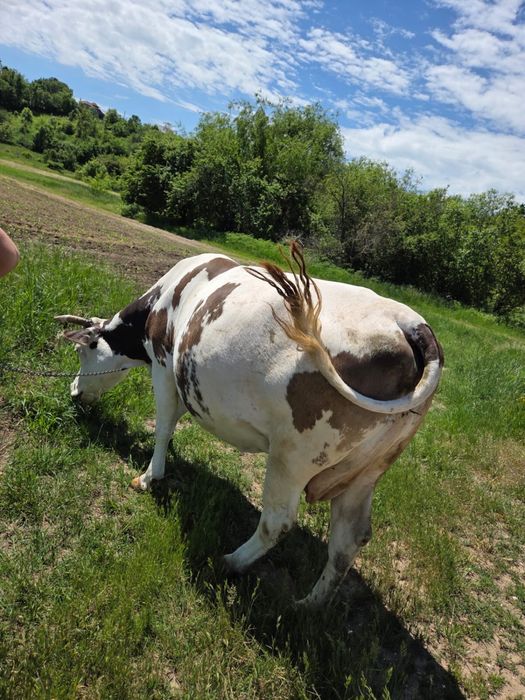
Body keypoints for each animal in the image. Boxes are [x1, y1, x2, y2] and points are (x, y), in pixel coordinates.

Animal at [56, 243, 443, 605]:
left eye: (82, 351)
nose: (74, 392)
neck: (169, 295)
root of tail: (411, 325)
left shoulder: (164, 364)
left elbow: (164, 425)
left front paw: (150, 476)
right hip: (369, 469)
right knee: (349, 540)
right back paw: (308, 604)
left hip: (293, 454)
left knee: (278, 521)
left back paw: (231, 561)